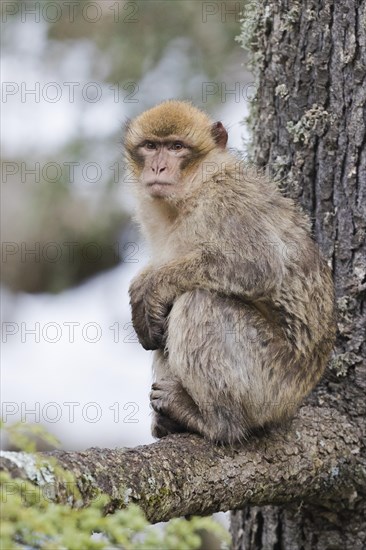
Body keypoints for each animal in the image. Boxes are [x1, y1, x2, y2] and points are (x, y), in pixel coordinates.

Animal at [124, 100, 336, 444]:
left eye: (176, 147)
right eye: (151, 147)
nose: (157, 168)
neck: (193, 190)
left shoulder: (226, 199)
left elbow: (259, 264)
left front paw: (149, 285)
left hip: (270, 382)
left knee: (200, 301)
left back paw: (216, 420)